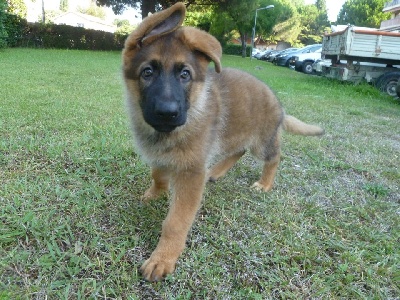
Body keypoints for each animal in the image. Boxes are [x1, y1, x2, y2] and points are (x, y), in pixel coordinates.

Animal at [122, 2, 324, 282]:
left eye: (185, 75)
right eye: (147, 72)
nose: (167, 112)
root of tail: (277, 102)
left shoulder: (191, 173)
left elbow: (175, 222)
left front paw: (163, 258)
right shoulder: (160, 155)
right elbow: (157, 173)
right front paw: (155, 193)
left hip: (262, 143)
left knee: (274, 156)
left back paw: (265, 183)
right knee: (238, 151)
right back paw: (216, 171)